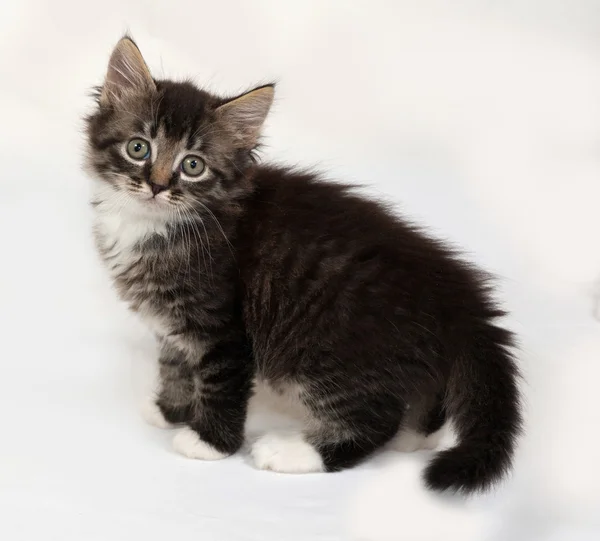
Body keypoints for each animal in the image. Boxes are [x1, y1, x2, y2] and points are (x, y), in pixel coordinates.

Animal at [83, 37, 520, 494]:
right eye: (138, 148)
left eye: (192, 165)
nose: (156, 185)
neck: (154, 226)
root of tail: (455, 293)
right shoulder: (171, 326)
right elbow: (175, 367)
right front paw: (170, 410)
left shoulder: (224, 331)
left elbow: (219, 386)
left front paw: (209, 443)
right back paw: (415, 434)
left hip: (331, 351)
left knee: (373, 422)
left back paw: (294, 451)